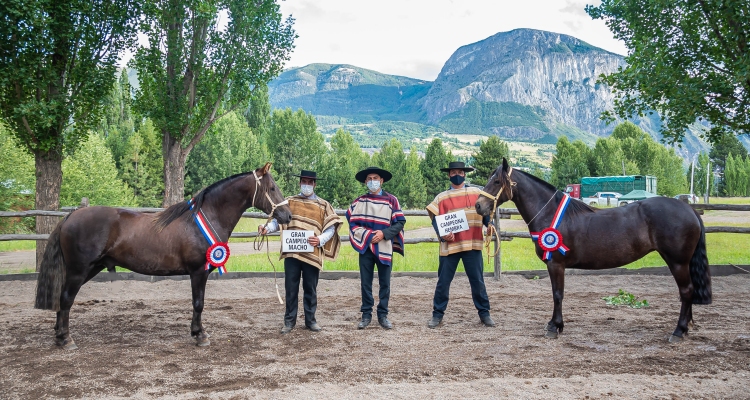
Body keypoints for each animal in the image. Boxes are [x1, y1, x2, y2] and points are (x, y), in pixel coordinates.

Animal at [36, 162, 294, 346]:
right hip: (79, 270)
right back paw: (65, 339)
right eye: (272, 188)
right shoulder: (198, 272)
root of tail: (71, 216)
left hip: (89, 269)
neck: (205, 218)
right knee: (66, 299)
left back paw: (59, 335)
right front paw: (200, 335)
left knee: (64, 299)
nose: (288, 216)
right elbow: (198, 303)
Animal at [478, 158, 712, 342]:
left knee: (686, 291)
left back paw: (678, 331)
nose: (479, 206)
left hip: (678, 262)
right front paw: (555, 324)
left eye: (496, 181)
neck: (551, 213)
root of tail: (688, 208)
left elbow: (557, 294)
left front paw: (555, 326)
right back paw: (686, 328)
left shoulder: (556, 264)